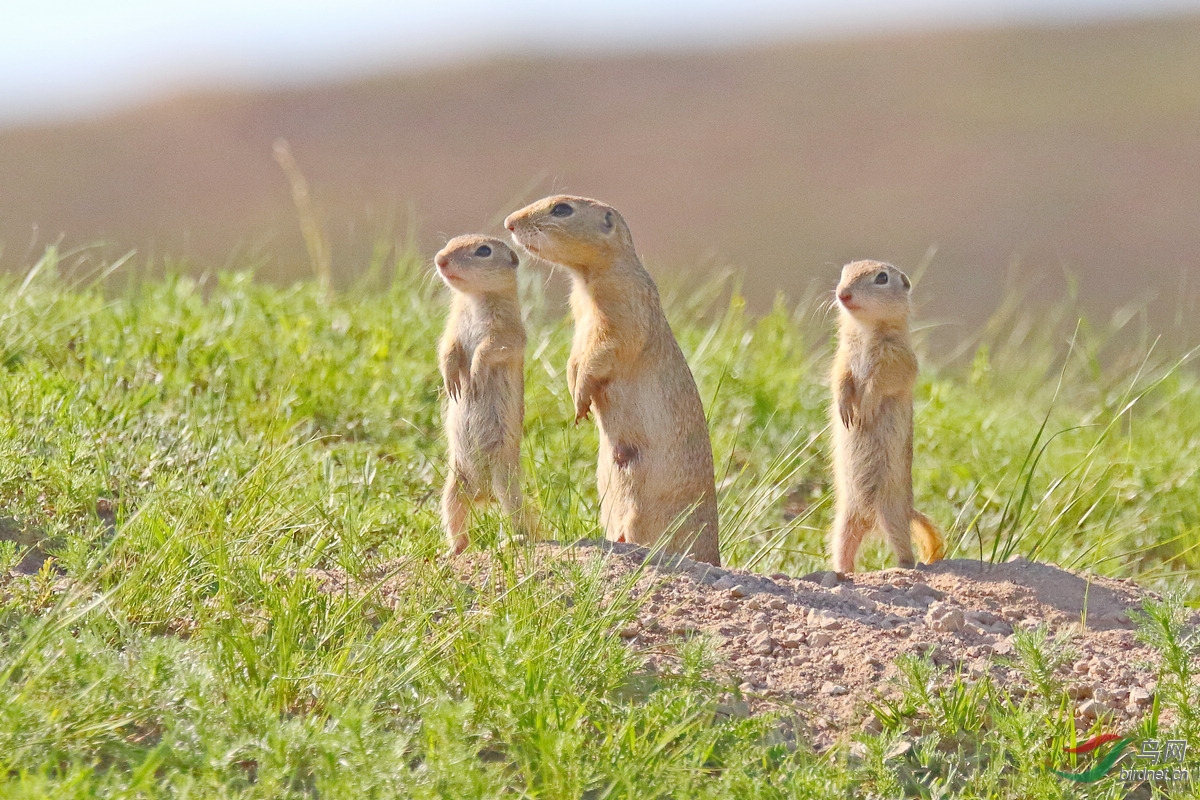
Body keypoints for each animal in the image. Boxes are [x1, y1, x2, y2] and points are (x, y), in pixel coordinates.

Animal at [429, 235, 528, 554]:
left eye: (484, 250)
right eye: (450, 242)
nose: (440, 259)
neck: (473, 300)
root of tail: (485, 495)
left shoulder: (507, 330)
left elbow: (492, 347)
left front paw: (474, 377)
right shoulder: (453, 327)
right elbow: (448, 348)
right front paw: (452, 382)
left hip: (505, 483)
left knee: (524, 519)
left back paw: (515, 540)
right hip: (453, 487)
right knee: (458, 521)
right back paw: (454, 550)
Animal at [499, 196, 715, 566]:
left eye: (562, 209)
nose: (509, 222)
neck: (586, 279)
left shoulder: (622, 309)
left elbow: (604, 352)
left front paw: (580, 404)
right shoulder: (580, 320)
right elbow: (575, 357)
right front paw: (574, 394)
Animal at [825, 260, 945, 573]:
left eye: (882, 278)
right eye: (844, 272)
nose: (843, 294)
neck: (866, 330)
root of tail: (870, 518)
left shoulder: (896, 359)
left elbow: (880, 383)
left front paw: (865, 408)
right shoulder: (842, 356)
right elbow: (840, 377)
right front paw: (845, 409)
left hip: (891, 512)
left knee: (904, 548)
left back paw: (905, 566)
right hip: (845, 521)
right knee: (845, 547)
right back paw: (841, 571)